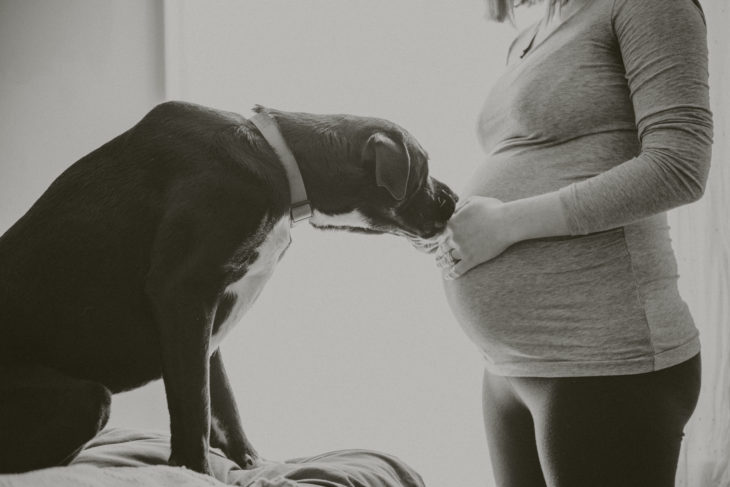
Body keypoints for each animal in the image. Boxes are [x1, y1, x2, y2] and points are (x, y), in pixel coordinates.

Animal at [0, 100, 456, 476]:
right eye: (423, 169)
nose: (453, 200)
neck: (279, 161)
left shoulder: (209, 322)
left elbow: (222, 405)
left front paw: (253, 465)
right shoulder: (183, 293)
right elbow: (195, 409)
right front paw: (192, 471)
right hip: (88, 399)